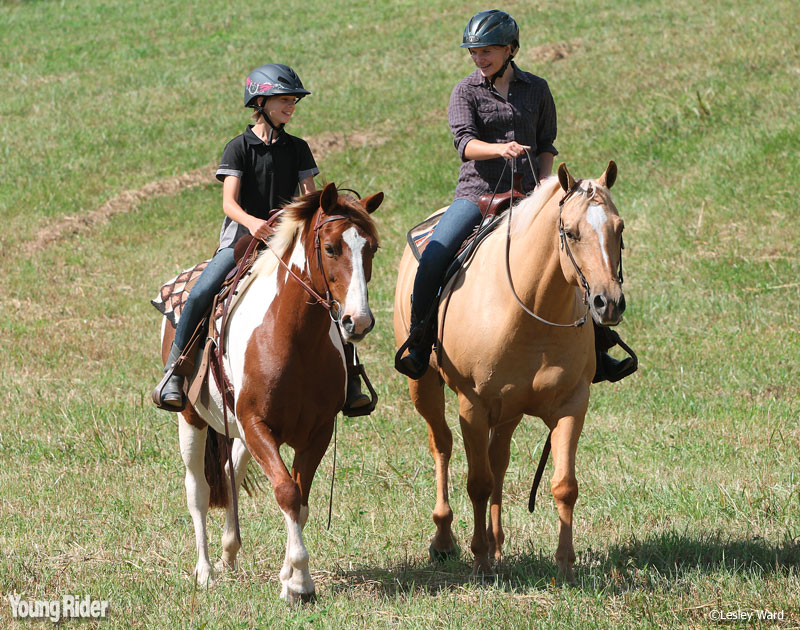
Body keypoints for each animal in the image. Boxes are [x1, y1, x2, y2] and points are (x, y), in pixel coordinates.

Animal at [162, 184, 382, 604]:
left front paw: (291, 577)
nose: (357, 321)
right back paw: (205, 570)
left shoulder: (317, 433)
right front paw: (298, 583)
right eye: (331, 247)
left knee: (231, 468)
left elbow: (301, 501)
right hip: (192, 419)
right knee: (198, 490)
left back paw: (230, 552)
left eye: (372, 248)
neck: (293, 339)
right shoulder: (257, 425)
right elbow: (286, 493)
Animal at [396, 164, 628, 588]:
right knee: (443, 446)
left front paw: (564, 567)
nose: (609, 303)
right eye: (570, 231)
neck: (530, 309)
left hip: (509, 412)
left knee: (498, 459)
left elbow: (563, 485)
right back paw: (445, 540)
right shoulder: (471, 406)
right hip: (423, 387)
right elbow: (477, 482)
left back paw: (498, 545)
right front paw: (480, 563)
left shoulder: (572, 405)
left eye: (618, 228)